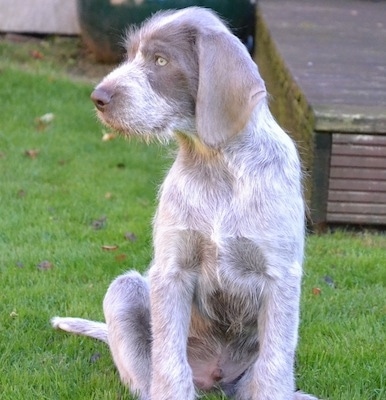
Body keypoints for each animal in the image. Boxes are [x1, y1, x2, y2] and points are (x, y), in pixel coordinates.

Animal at [50, 6, 316, 400]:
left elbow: (274, 367)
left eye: (161, 60)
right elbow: (169, 361)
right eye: (131, 55)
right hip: (126, 289)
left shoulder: (280, 276)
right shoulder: (172, 271)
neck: (216, 164)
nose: (98, 97)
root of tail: (215, 380)